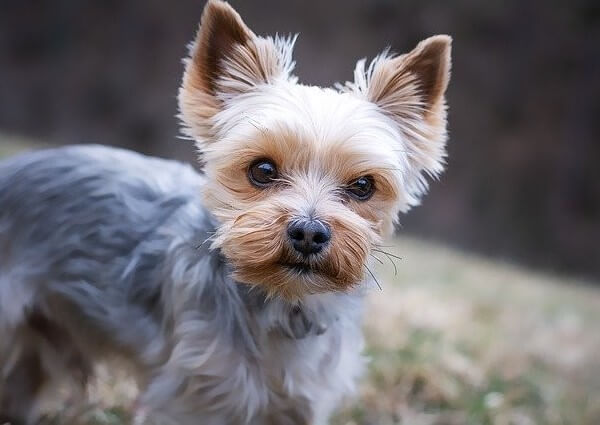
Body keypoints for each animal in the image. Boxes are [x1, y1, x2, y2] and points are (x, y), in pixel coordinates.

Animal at [0, 1, 450, 422]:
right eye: (262, 170)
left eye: (363, 186)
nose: (308, 232)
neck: (283, 303)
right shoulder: (194, 399)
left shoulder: (303, 402)